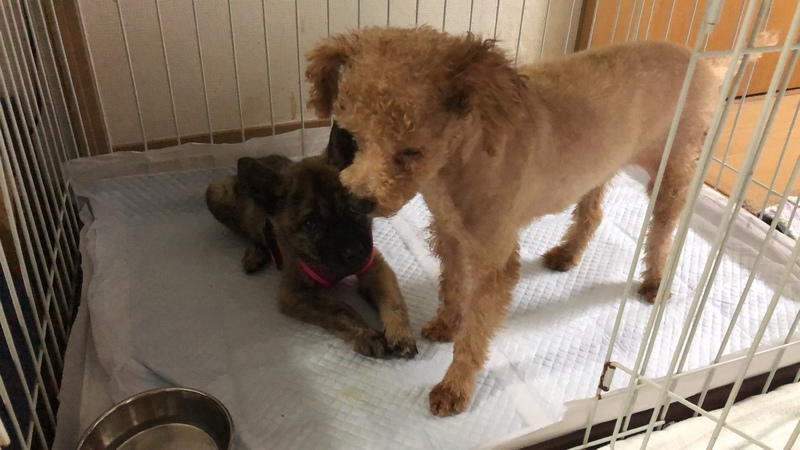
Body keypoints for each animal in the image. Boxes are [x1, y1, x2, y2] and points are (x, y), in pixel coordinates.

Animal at [205, 124, 417, 359]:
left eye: (353, 207)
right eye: (310, 224)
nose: (355, 253)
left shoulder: (375, 265)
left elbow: (393, 301)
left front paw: (400, 332)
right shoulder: (294, 294)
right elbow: (341, 309)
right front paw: (364, 334)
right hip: (215, 193)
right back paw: (255, 253)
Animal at [303, 27, 776, 416]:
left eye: (410, 151)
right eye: (354, 138)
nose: (357, 201)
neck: (461, 165)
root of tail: (705, 60)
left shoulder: (496, 262)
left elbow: (476, 335)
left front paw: (455, 388)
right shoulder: (449, 234)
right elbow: (452, 285)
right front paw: (446, 323)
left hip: (672, 169)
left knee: (662, 230)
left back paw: (655, 282)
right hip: (598, 167)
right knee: (594, 214)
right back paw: (567, 254)